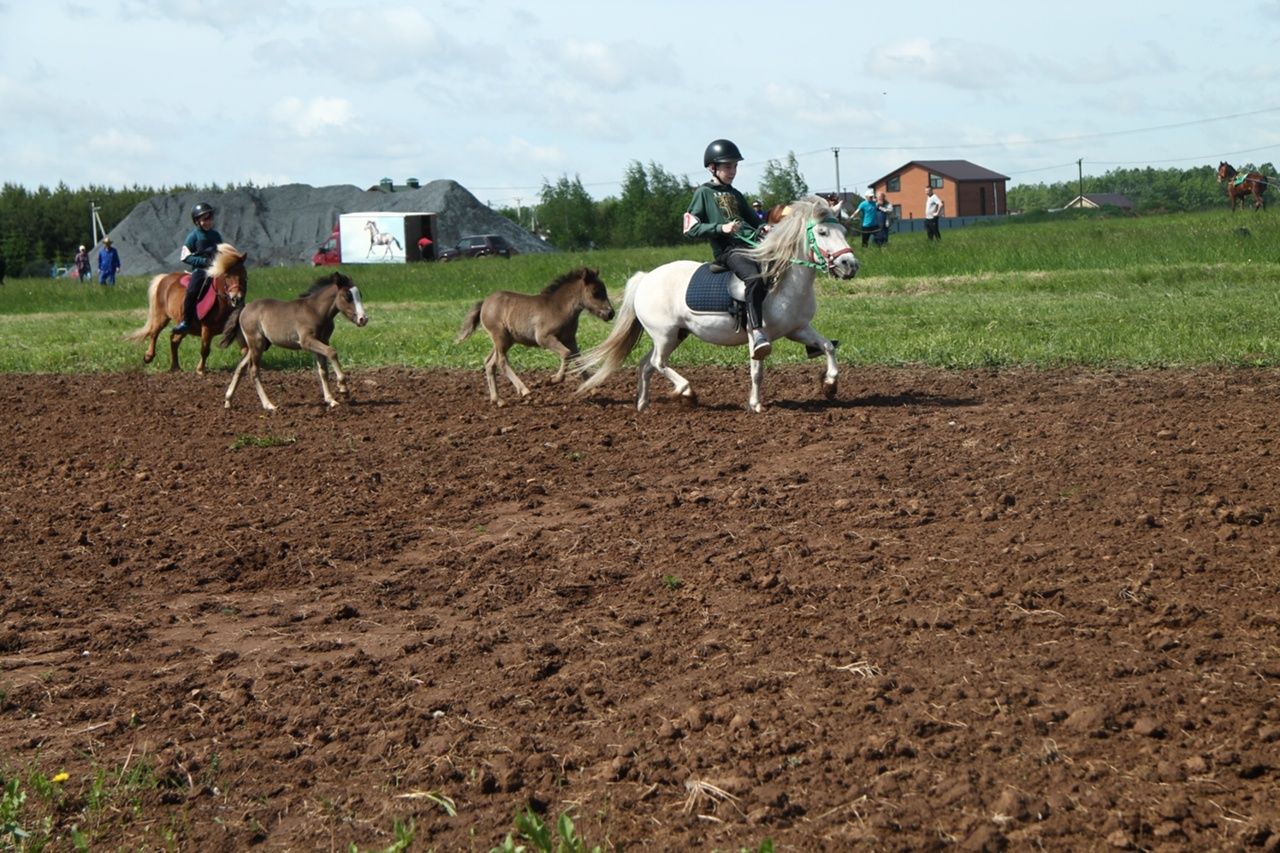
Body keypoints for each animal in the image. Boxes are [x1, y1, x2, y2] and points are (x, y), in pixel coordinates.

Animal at [124, 240, 247, 371]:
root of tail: (165, 277)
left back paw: (175, 367)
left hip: (186, 325)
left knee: (174, 340)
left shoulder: (236, 328)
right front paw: (200, 370)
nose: (236, 298)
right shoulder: (207, 328)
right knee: (154, 333)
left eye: (244, 274)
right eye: (227, 276)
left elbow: (245, 351)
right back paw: (148, 356)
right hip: (161, 316)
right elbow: (205, 350)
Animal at [455, 266, 614, 404]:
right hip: (500, 337)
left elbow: (578, 359)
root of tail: (484, 303)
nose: (610, 313)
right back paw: (524, 390)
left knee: (489, 362)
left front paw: (591, 388)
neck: (560, 308)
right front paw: (554, 380)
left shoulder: (570, 339)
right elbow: (566, 354)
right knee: (501, 361)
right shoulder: (544, 338)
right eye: (595, 292)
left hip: (505, 340)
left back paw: (498, 400)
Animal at [576, 197, 855, 412]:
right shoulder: (758, 336)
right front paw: (755, 405)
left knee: (646, 365)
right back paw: (687, 392)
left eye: (843, 231)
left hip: (676, 335)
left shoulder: (797, 329)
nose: (850, 265)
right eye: (822, 232)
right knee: (657, 363)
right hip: (664, 334)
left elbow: (828, 346)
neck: (782, 282)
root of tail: (645, 279)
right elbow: (757, 371)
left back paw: (643, 405)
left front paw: (830, 384)